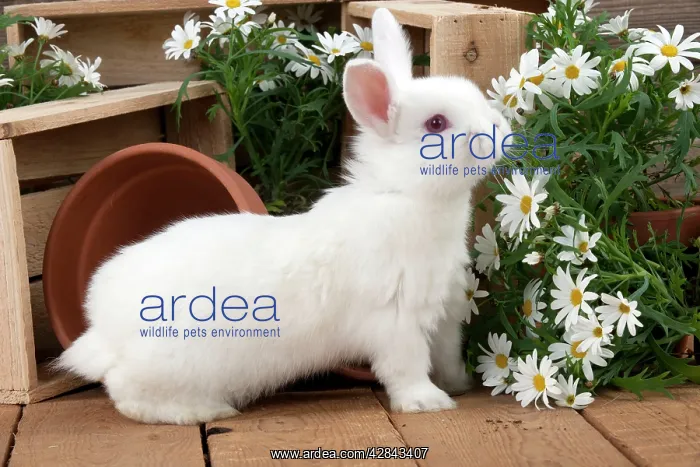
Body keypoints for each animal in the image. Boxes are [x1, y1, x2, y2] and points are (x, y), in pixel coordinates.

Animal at [55, 7, 511, 425]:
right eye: (436, 123)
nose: (501, 133)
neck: (404, 194)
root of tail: (103, 328)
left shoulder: (446, 313)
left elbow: (447, 355)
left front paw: (458, 385)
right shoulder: (397, 321)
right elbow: (407, 367)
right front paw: (428, 403)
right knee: (127, 394)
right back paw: (207, 411)